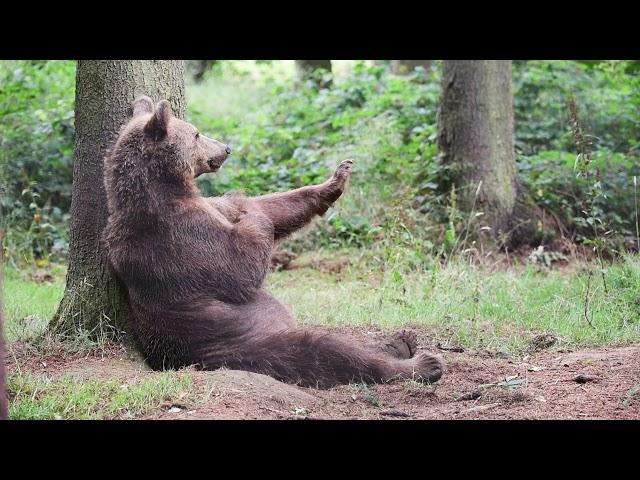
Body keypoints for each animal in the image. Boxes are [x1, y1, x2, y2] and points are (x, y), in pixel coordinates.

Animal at [104, 95, 444, 388]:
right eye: (197, 134)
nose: (226, 148)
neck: (167, 189)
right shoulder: (181, 237)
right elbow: (240, 266)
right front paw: (246, 206)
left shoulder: (209, 209)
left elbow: (273, 206)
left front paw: (334, 180)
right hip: (243, 341)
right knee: (324, 352)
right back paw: (422, 365)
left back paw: (399, 342)